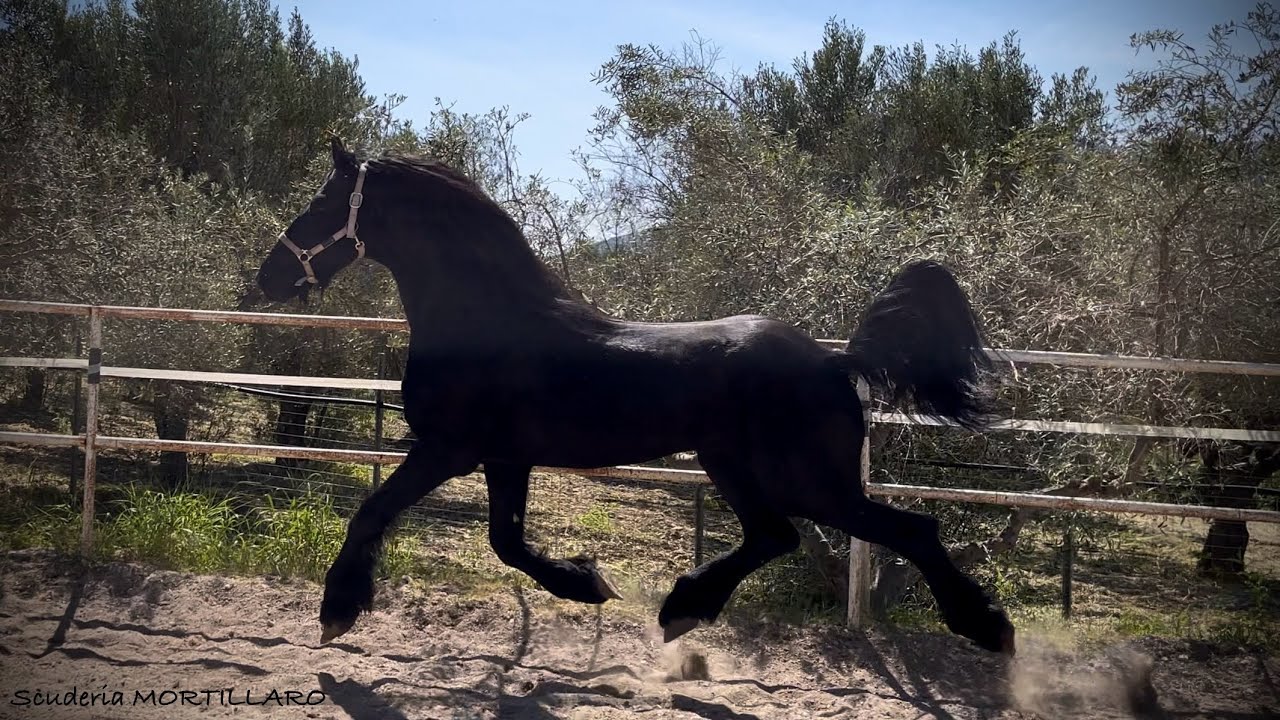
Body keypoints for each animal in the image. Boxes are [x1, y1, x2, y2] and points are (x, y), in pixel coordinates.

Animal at [253, 137, 1016, 655]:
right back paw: (682, 609)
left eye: (321, 203)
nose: (268, 277)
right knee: (775, 535)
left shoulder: (448, 449)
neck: (485, 321)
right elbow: (506, 542)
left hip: (809, 480)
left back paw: (989, 630)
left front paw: (337, 609)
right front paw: (587, 583)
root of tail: (837, 360)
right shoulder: (504, 458)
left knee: (908, 530)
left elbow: (373, 511)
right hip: (732, 465)